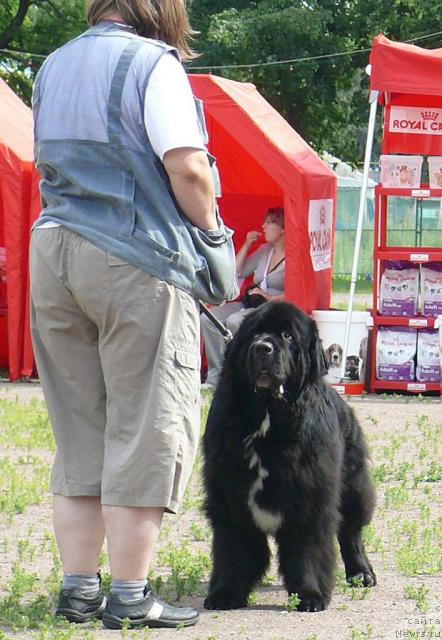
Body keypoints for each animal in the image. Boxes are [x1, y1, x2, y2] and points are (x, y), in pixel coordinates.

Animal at [202, 302, 374, 612]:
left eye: (288, 336)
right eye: (254, 333)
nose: (262, 347)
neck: (267, 415)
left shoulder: (310, 493)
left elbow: (307, 548)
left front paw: (309, 594)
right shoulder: (228, 494)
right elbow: (233, 548)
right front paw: (226, 592)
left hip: (354, 486)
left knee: (351, 531)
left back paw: (361, 573)